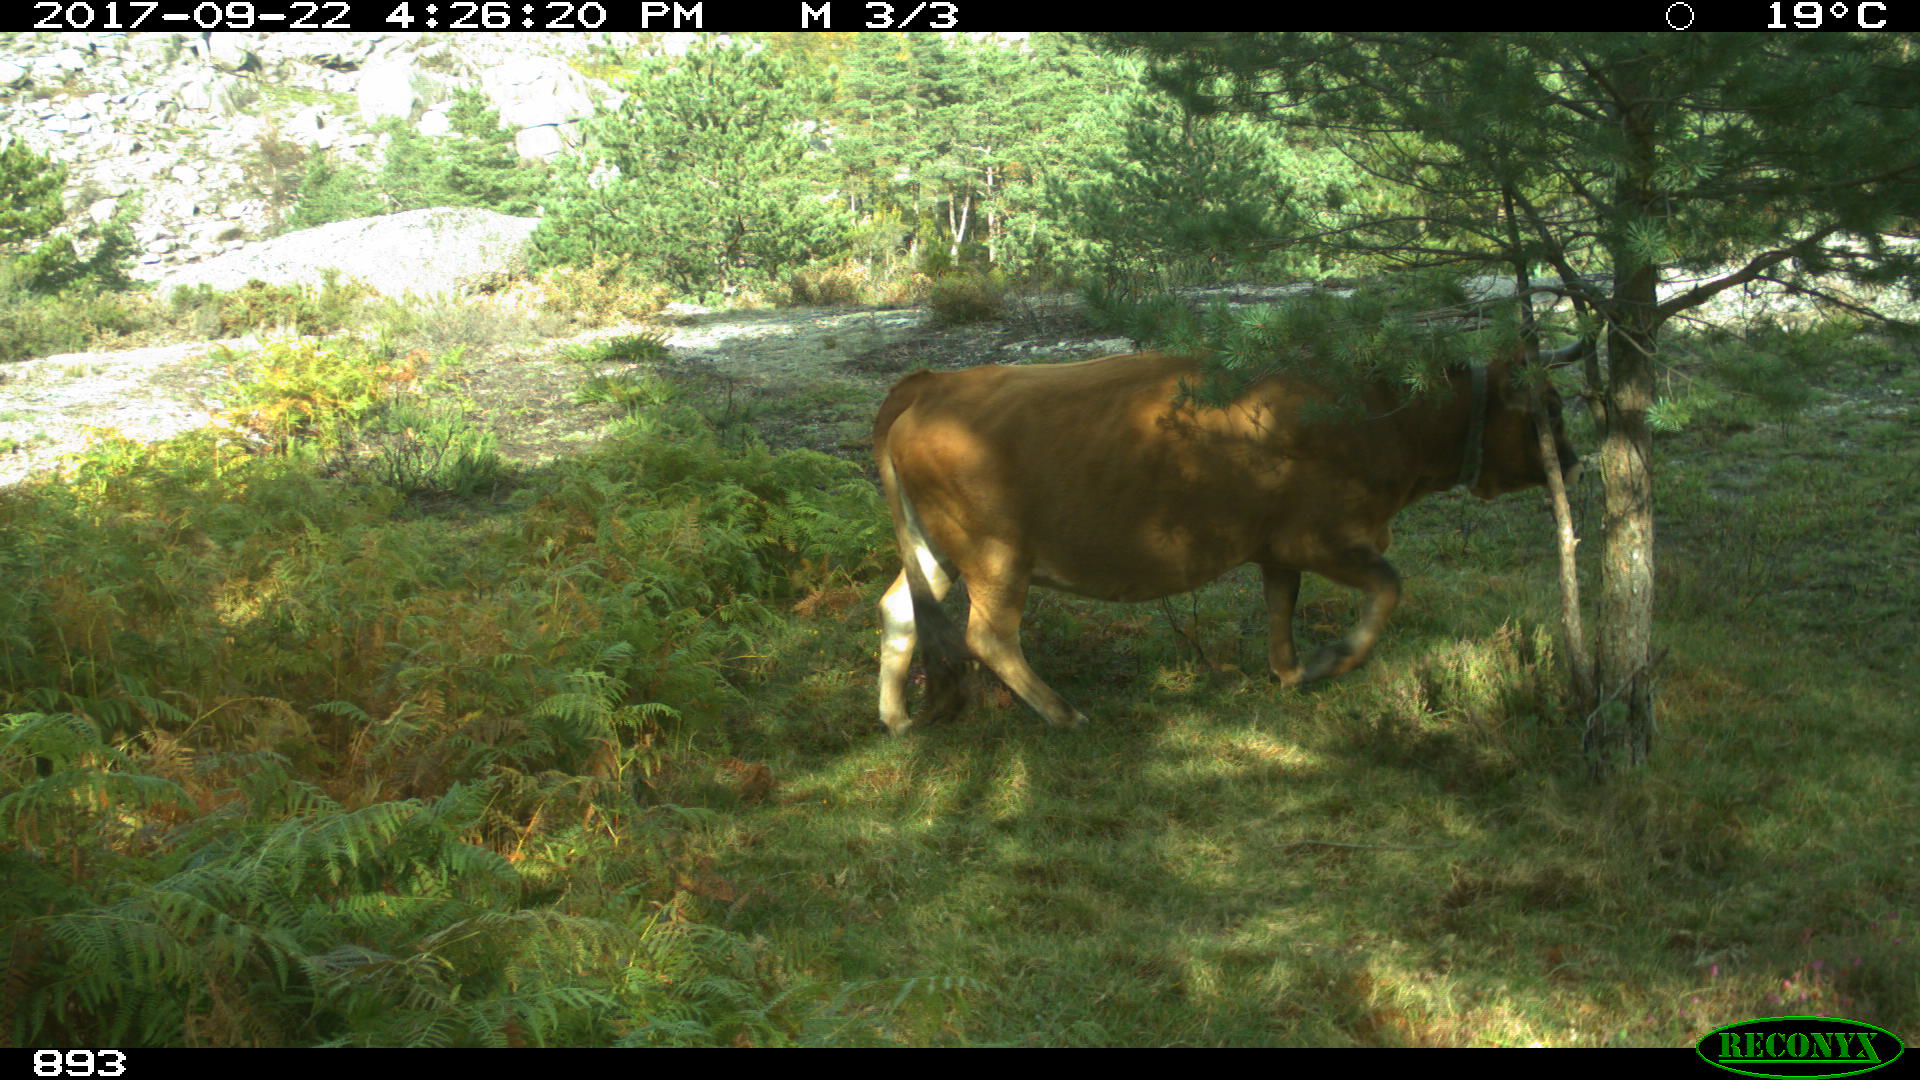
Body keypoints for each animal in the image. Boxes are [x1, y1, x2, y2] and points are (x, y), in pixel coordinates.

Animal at [872, 343, 1586, 733]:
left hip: (936, 547)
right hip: (995, 554)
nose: (1575, 461)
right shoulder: (1322, 535)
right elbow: (1388, 586)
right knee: (988, 636)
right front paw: (1337, 658)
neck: (1386, 414)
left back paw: (898, 718)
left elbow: (1281, 610)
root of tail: (932, 382)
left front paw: (1293, 671)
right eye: (1551, 407)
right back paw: (1063, 713)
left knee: (899, 608)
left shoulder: (1276, 547)